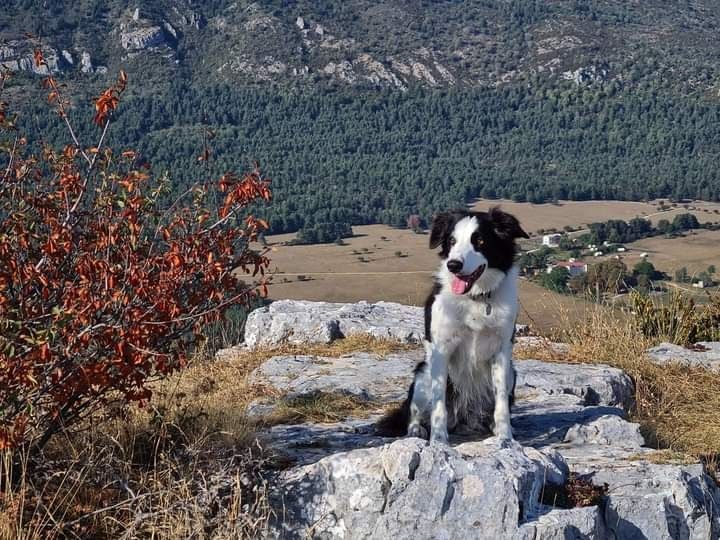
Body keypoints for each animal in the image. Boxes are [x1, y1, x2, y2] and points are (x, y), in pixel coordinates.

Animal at [376, 207, 528, 442]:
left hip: (512, 372)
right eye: (452, 240)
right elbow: (439, 405)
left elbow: (502, 401)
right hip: (422, 376)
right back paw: (417, 430)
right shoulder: (441, 349)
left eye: (480, 240)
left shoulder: (502, 351)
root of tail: (464, 419)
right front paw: (438, 441)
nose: (453, 265)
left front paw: (506, 437)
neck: (476, 299)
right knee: (415, 412)